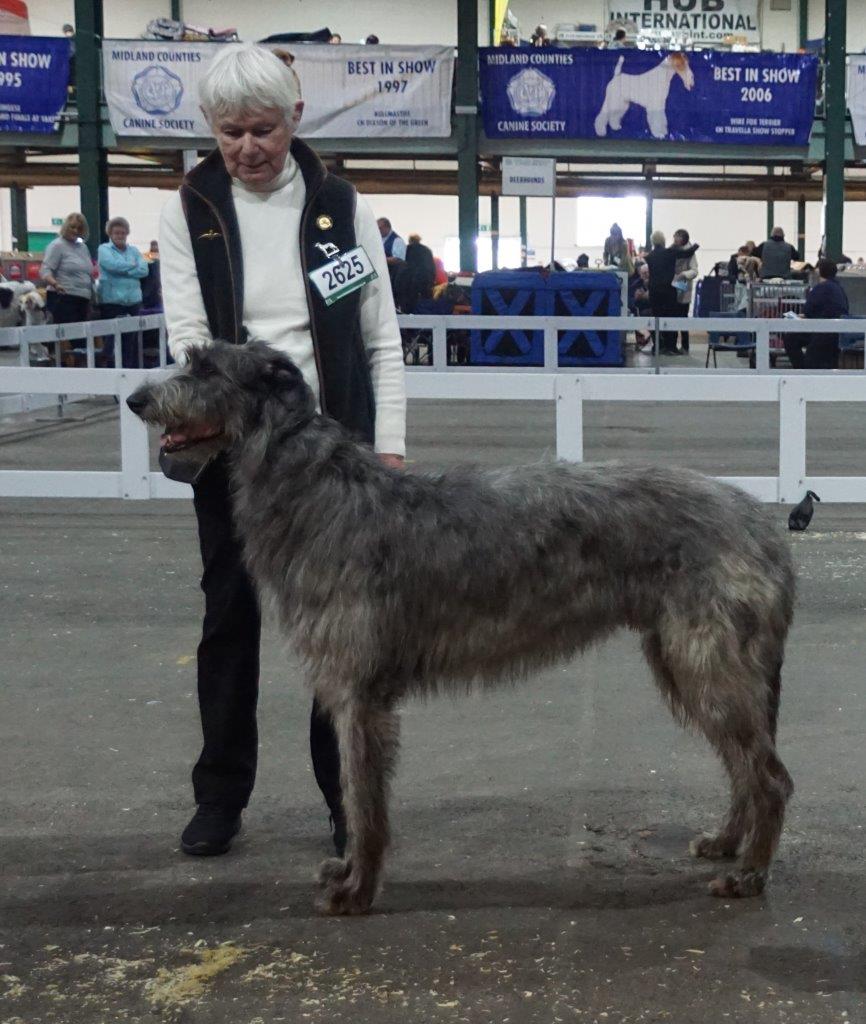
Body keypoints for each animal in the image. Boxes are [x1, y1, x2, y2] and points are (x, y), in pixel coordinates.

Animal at [125, 339, 798, 917]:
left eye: (206, 368)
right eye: (189, 357)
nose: (136, 398)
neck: (318, 492)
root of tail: (763, 525)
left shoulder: (360, 692)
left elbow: (363, 799)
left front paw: (357, 890)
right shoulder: (351, 690)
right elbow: (354, 792)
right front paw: (347, 873)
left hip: (708, 658)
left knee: (768, 776)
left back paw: (749, 874)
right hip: (685, 659)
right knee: (743, 764)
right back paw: (728, 842)